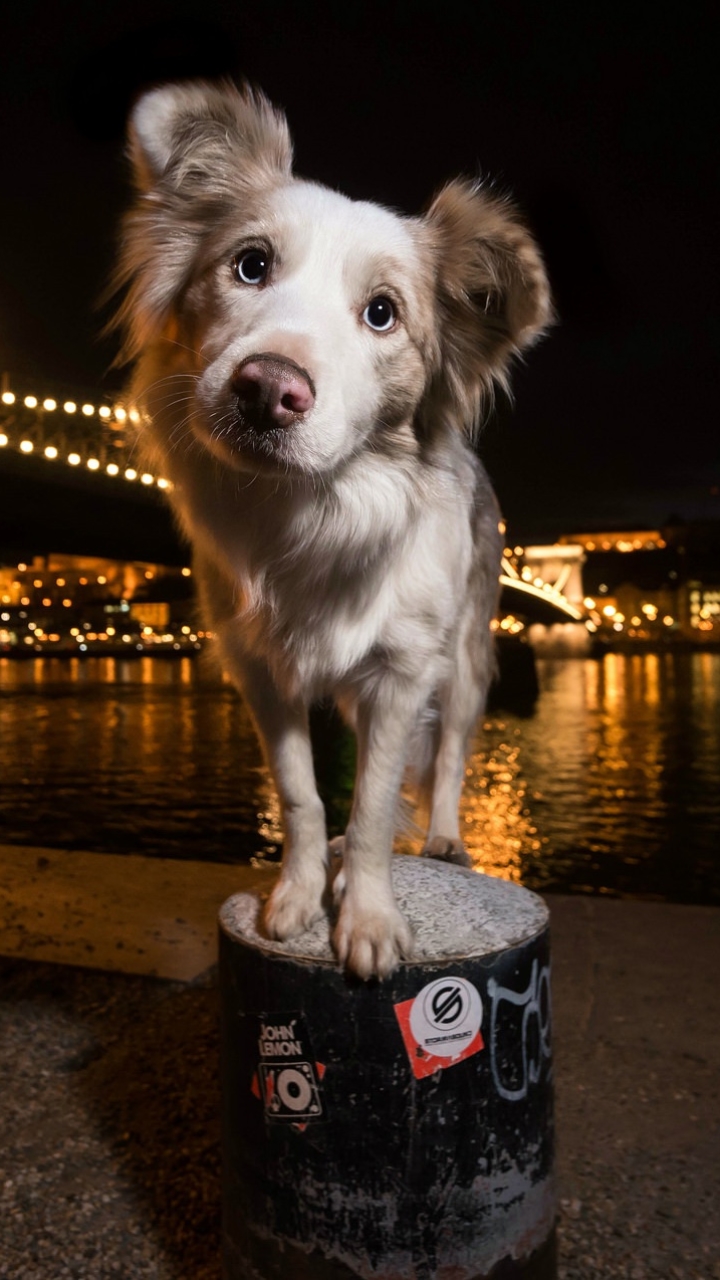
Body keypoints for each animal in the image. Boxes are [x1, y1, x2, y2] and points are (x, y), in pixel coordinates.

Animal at [113, 82, 548, 977]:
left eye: (382, 315)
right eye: (250, 265)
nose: (267, 388)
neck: (313, 510)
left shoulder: (402, 674)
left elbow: (379, 806)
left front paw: (369, 917)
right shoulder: (261, 672)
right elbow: (304, 794)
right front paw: (299, 894)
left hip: (468, 658)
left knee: (450, 759)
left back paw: (446, 840)